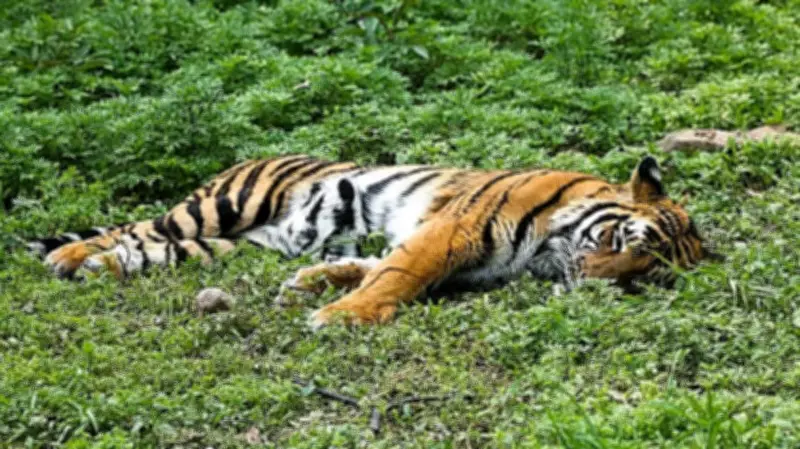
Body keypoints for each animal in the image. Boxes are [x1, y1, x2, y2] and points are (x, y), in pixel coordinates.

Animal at [27, 155, 713, 327]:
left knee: (146, 249)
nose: (595, 286)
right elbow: (397, 274)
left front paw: (313, 286)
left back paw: (95, 269)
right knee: (133, 227)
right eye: (625, 240)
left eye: (645, 277)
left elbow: (372, 262)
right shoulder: (453, 231)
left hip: (233, 245)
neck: (549, 253)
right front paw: (340, 316)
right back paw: (66, 256)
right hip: (220, 209)